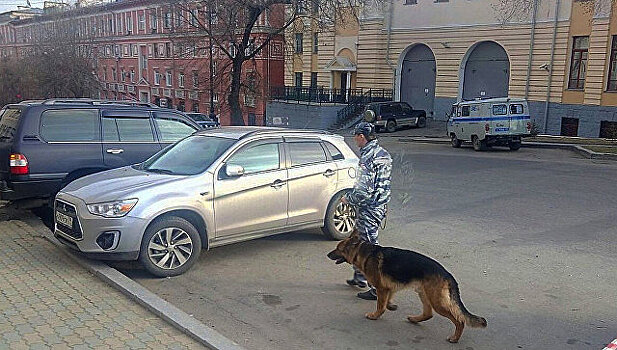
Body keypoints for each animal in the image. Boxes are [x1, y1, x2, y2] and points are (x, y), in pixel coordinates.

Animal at [328, 231, 486, 344]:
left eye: (338, 248)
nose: (328, 254)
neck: (364, 253)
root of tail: (447, 274)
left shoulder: (381, 288)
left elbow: (380, 305)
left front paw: (375, 316)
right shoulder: (388, 288)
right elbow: (386, 301)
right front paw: (391, 306)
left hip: (437, 302)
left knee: (459, 320)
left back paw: (454, 338)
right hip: (424, 294)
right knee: (428, 314)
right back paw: (414, 319)